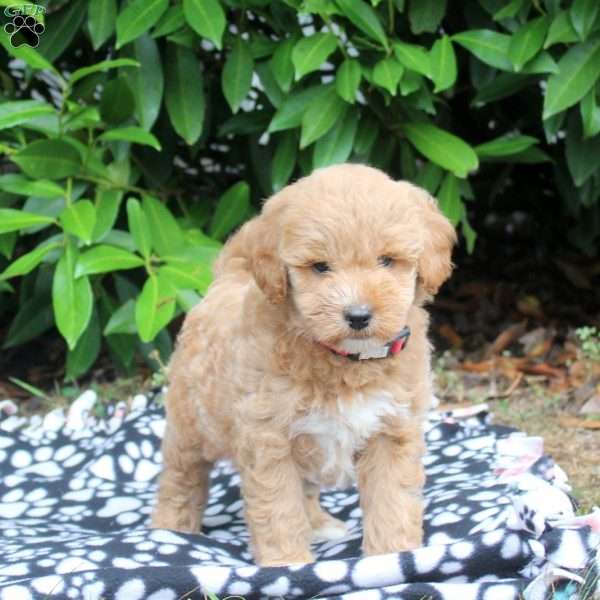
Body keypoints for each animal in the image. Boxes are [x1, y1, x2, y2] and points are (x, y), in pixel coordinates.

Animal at [151, 162, 454, 564]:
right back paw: (170, 530)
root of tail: (227, 280)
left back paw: (319, 524)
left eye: (387, 261)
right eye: (320, 267)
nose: (358, 315)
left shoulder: (393, 431)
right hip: (189, 424)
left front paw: (393, 556)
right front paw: (287, 563)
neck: (347, 361)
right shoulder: (268, 440)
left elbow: (392, 502)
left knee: (306, 490)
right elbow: (278, 508)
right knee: (181, 476)